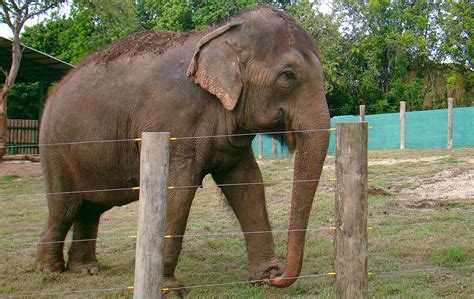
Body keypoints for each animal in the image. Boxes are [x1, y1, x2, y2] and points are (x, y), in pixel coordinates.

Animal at [37, 5, 330, 292]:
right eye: (287, 76)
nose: (278, 275)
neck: (218, 33)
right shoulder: (172, 121)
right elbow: (177, 189)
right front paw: (170, 288)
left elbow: (248, 184)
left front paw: (263, 277)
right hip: (53, 148)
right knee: (64, 207)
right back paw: (50, 270)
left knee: (90, 208)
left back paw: (86, 269)